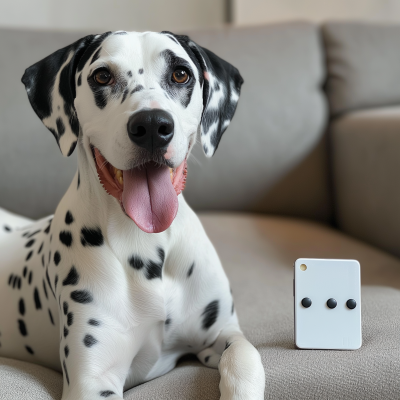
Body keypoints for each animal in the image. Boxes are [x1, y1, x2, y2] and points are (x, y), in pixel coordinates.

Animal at [0, 29, 266, 398]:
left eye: (180, 74)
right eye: (102, 76)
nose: (152, 125)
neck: (146, 247)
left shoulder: (222, 333)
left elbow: (245, 354)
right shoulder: (92, 381)